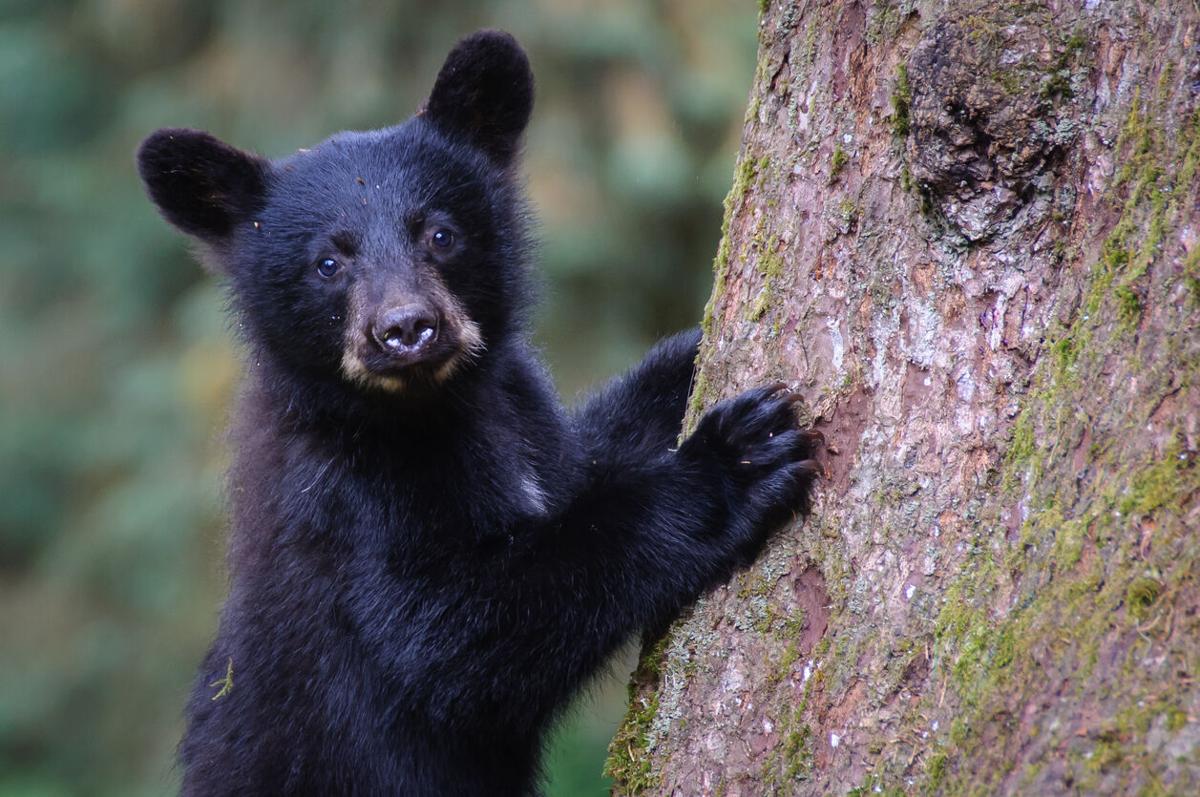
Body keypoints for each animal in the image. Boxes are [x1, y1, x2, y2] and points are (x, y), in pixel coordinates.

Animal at [137, 29, 820, 797]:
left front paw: (690, 356)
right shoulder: (349, 502)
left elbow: (591, 453)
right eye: (327, 263)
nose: (406, 328)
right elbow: (457, 634)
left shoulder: (525, 420)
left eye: (439, 233)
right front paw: (735, 458)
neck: (440, 407)